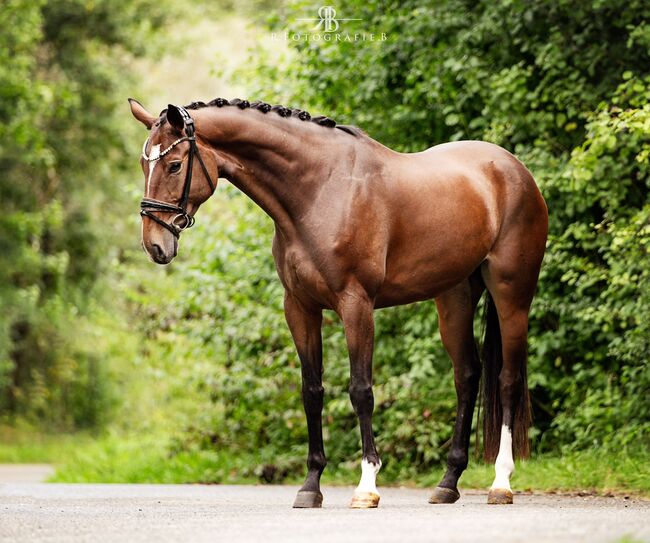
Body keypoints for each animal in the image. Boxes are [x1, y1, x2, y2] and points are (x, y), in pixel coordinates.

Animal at [128, 98, 548, 510]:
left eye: (174, 164)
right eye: (144, 164)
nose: (155, 246)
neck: (318, 190)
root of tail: (513, 169)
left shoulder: (356, 304)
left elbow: (361, 390)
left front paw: (366, 486)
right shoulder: (299, 308)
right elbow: (312, 391)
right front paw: (310, 486)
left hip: (512, 294)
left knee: (508, 380)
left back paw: (500, 483)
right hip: (454, 297)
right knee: (467, 375)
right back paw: (448, 483)